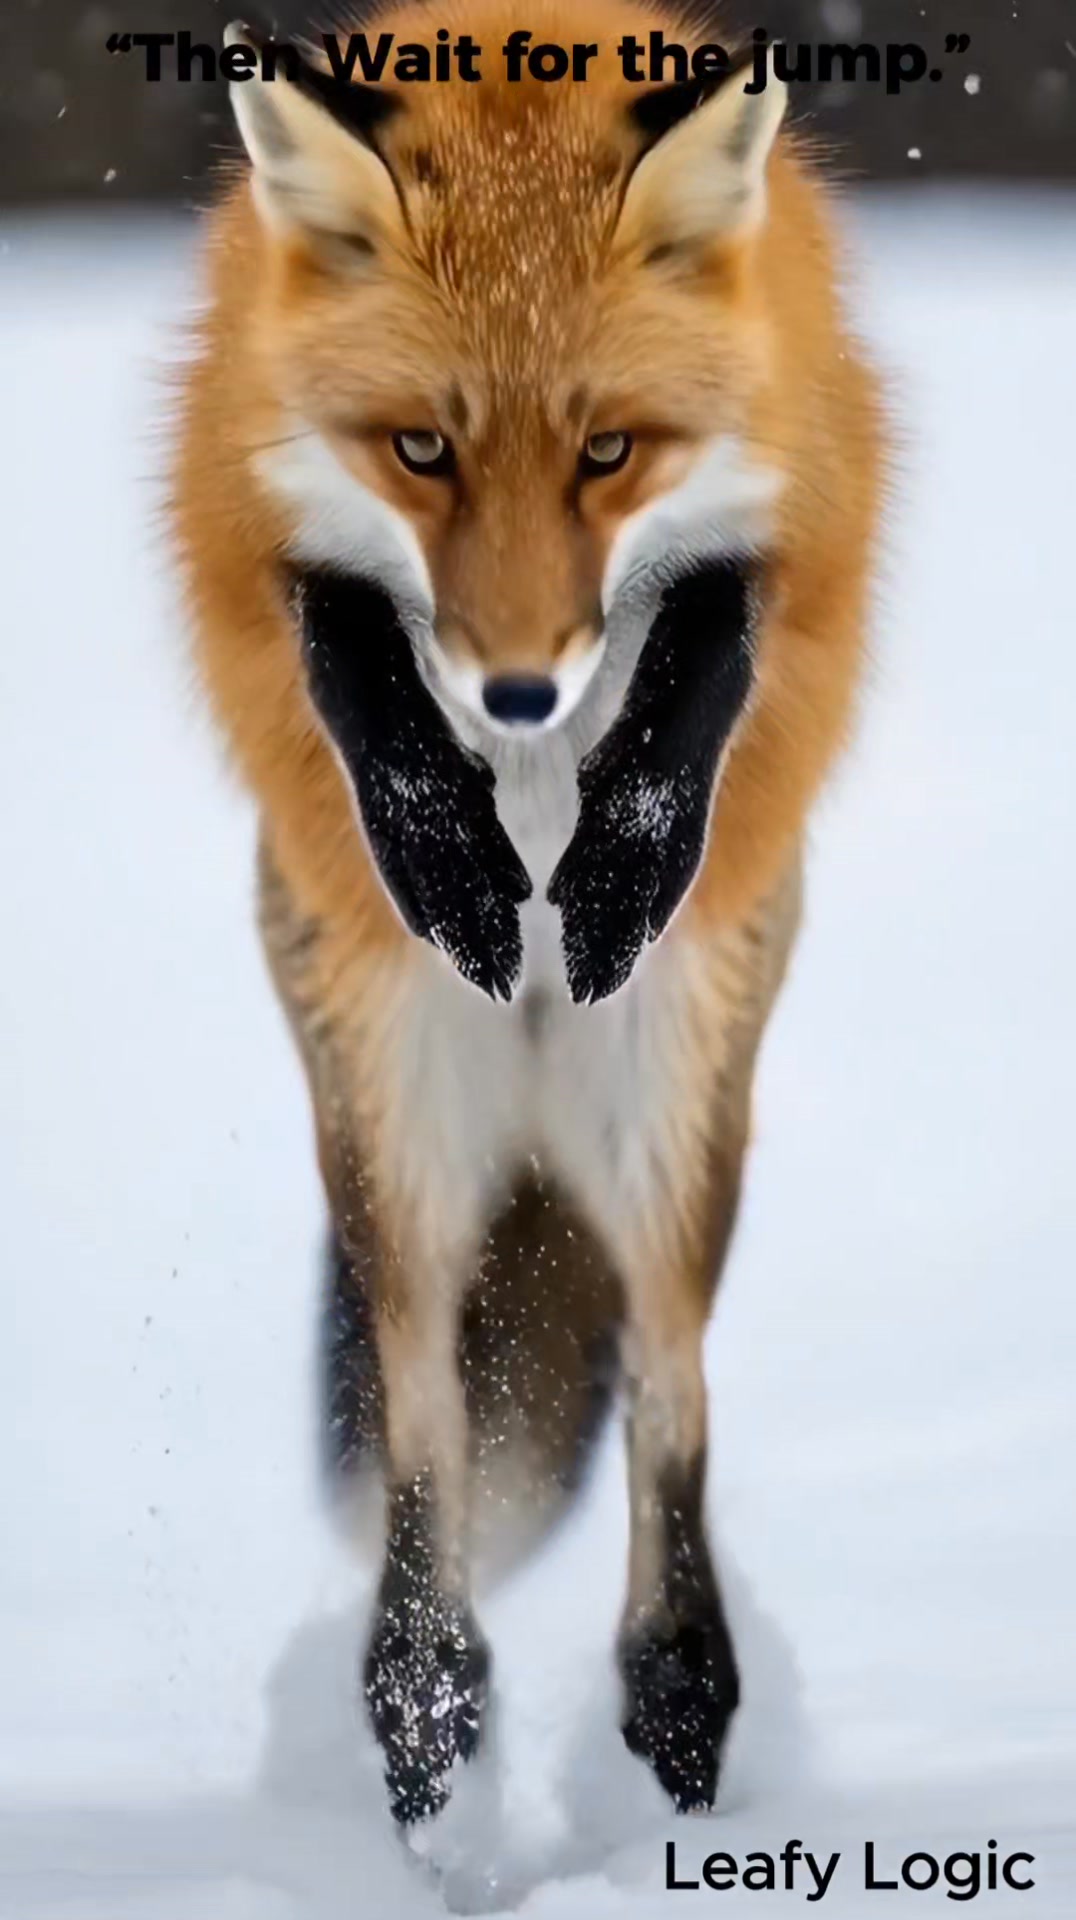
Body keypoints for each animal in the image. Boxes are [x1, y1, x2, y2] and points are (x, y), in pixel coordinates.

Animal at [169, 0, 885, 1829]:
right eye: (419, 448)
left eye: (609, 451)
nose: (514, 691)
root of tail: (547, 1061)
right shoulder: (257, 507)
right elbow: (344, 645)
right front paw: (446, 850)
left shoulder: (797, 492)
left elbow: (711, 637)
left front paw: (621, 855)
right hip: (400, 1139)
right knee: (427, 1489)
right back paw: (432, 1741)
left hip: (669, 1135)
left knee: (669, 1419)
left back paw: (679, 1731)